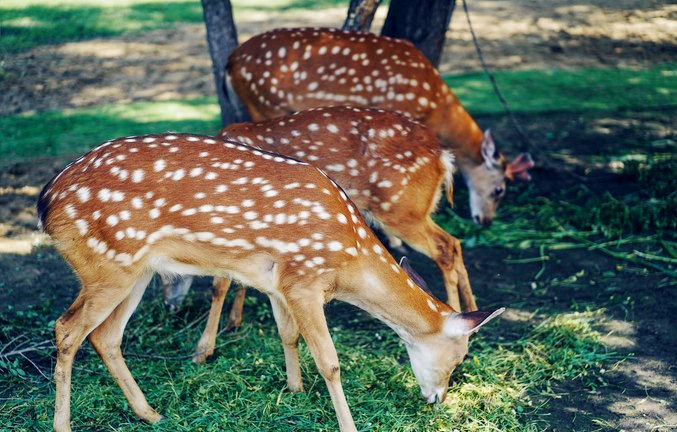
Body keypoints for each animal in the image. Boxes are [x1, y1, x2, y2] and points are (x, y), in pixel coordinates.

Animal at [37, 133, 502, 432]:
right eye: (460, 357)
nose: (438, 398)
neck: (348, 259)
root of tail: (46, 203)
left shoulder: (279, 281)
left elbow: (286, 334)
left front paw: (294, 390)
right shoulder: (305, 279)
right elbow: (330, 361)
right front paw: (347, 424)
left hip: (136, 270)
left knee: (106, 336)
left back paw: (151, 414)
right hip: (107, 264)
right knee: (66, 328)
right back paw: (64, 426)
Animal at [160, 105, 476, 364]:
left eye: (169, 274)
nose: (169, 306)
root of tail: (443, 156)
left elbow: (220, 285)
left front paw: (204, 350)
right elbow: (242, 281)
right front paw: (233, 323)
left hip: (400, 208)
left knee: (444, 246)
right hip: (413, 209)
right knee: (455, 242)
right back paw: (470, 313)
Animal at [227, 25, 532, 228]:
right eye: (499, 190)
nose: (486, 221)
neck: (434, 101)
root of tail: (230, 62)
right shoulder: (397, 108)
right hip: (264, 102)